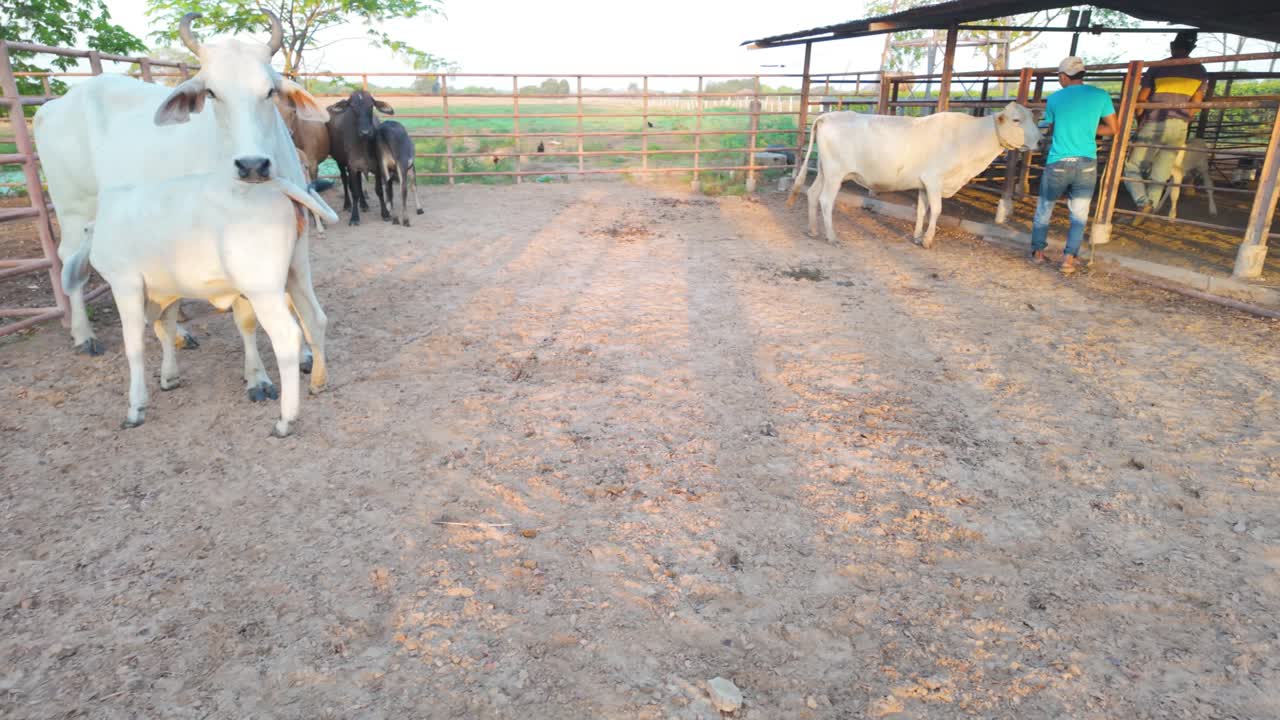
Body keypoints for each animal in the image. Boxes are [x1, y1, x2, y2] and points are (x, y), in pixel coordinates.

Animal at [33, 10, 331, 397]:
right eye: (212, 93)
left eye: (268, 91)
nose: (251, 165)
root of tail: (53, 106)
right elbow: (246, 318)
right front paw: (258, 377)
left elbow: (294, 299)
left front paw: (308, 357)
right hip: (73, 206)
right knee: (70, 259)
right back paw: (84, 334)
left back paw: (178, 334)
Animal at [61, 175, 338, 437]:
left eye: (85, 231)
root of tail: (274, 185)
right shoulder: (168, 291)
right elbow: (167, 330)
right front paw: (169, 376)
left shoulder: (126, 285)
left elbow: (135, 347)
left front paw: (136, 407)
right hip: (297, 271)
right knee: (316, 320)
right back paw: (318, 382)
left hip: (263, 289)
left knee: (287, 337)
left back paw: (285, 420)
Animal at [326, 90, 395, 225]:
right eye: (352, 106)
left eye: (371, 106)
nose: (365, 132)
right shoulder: (352, 166)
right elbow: (355, 192)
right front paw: (354, 217)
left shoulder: (377, 166)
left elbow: (379, 190)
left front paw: (385, 213)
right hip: (340, 162)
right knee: (345, 180)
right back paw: (347, 204)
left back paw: (364, 204)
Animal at [787, 102, 1040, 248]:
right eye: (1017, 120)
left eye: (1034, 118)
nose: (1040, 140)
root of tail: (827, 116)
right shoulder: (934, 179)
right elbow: (936, 210)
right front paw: (927, 240)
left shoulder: (922, 184)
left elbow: (921, 210)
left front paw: (917, 236)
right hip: (835, 173)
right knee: (825, 200)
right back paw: (831, 236)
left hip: (824, 170)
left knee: (812, 193)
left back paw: (813, 230)